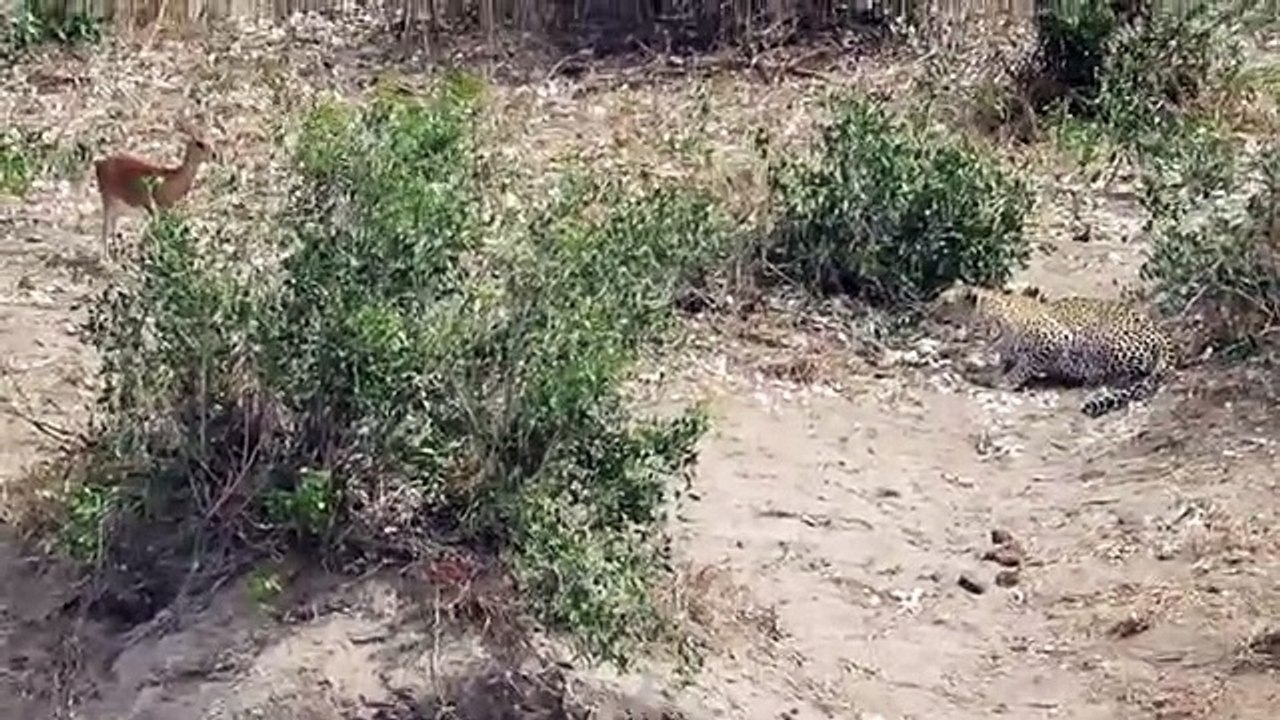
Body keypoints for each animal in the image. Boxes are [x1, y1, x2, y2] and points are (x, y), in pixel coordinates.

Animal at [93, 119, 214, 261]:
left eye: (210, 139)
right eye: (199, 143)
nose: (214, 155)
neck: (171, 178)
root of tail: (100, 163)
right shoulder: (154, 210)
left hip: (118, 208)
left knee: (113, 226)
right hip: (108, 202)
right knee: (105, 228)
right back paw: (106, 258)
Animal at [930, 282, 1178, 418]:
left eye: (945, 302)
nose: (928, 311)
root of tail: (1159, 331)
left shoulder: (1055, 339)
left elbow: (1024, 366)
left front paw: (1003, 382)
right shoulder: (1005, 354)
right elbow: (1003, 363)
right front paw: (979, 372)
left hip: (1100, 339)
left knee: (1124, 372)